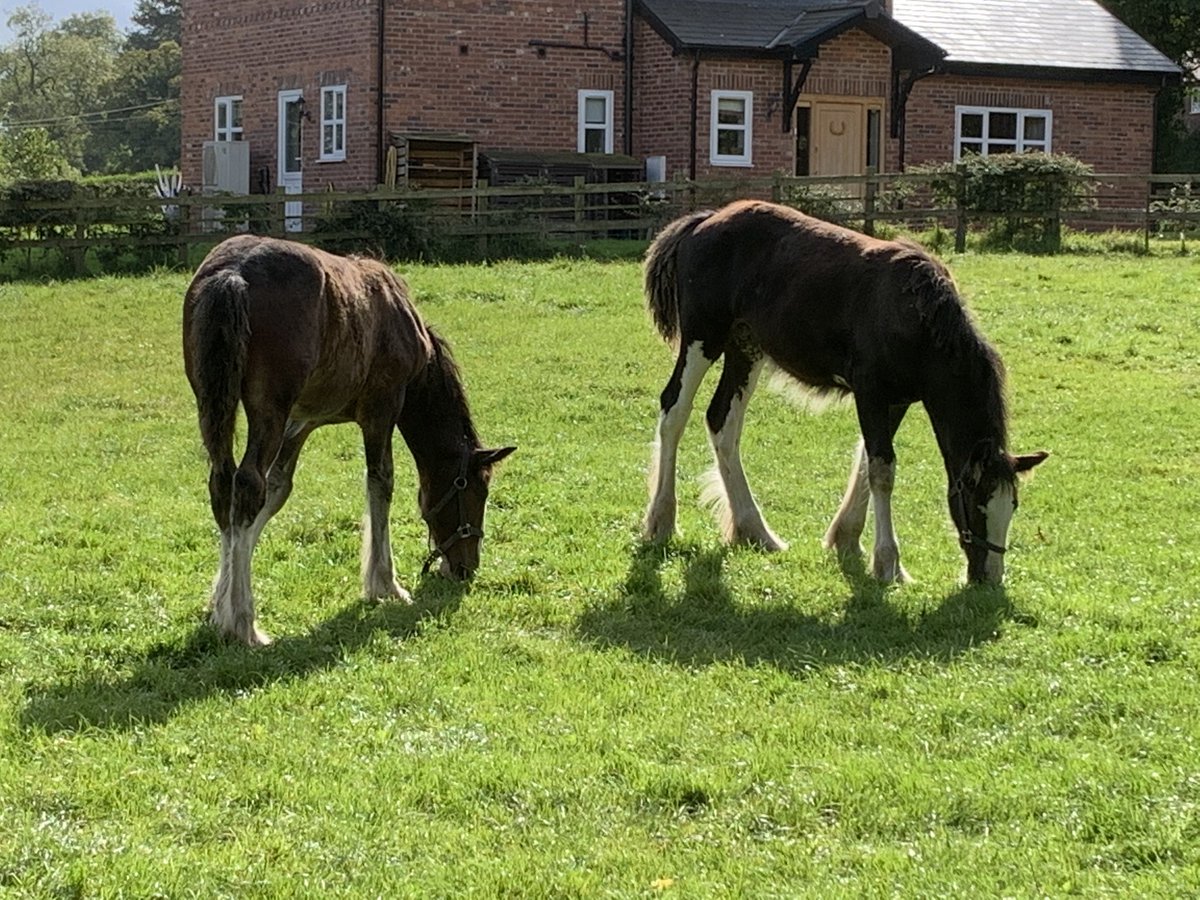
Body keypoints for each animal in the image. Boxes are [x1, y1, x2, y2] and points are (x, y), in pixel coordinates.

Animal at [183, 234, 515, 645]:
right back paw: (246, 624)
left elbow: (277, 491)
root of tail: (233, 274)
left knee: (225, 486)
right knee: (246, 485)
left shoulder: (301, 422)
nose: (466, 568)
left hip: (215, 404)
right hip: (267, 411)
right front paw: (385, 584)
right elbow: (381, 484)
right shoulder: (381, 409)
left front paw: (217, 603)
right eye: (474, 490)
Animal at [641, 199, 1047, 585]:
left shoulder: (897, 401)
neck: (915, 317)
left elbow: (867, 460)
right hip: (703, 339)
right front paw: (888, 564)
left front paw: (847, 539)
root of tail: (705, 222)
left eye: (1012, 505)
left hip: (745, 348)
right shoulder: (870, 394)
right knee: (674, 412)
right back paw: (661, 521)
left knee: (722, 423)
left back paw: (755, 531)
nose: (989, 576)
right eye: (978, 503)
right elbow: (882, 470)